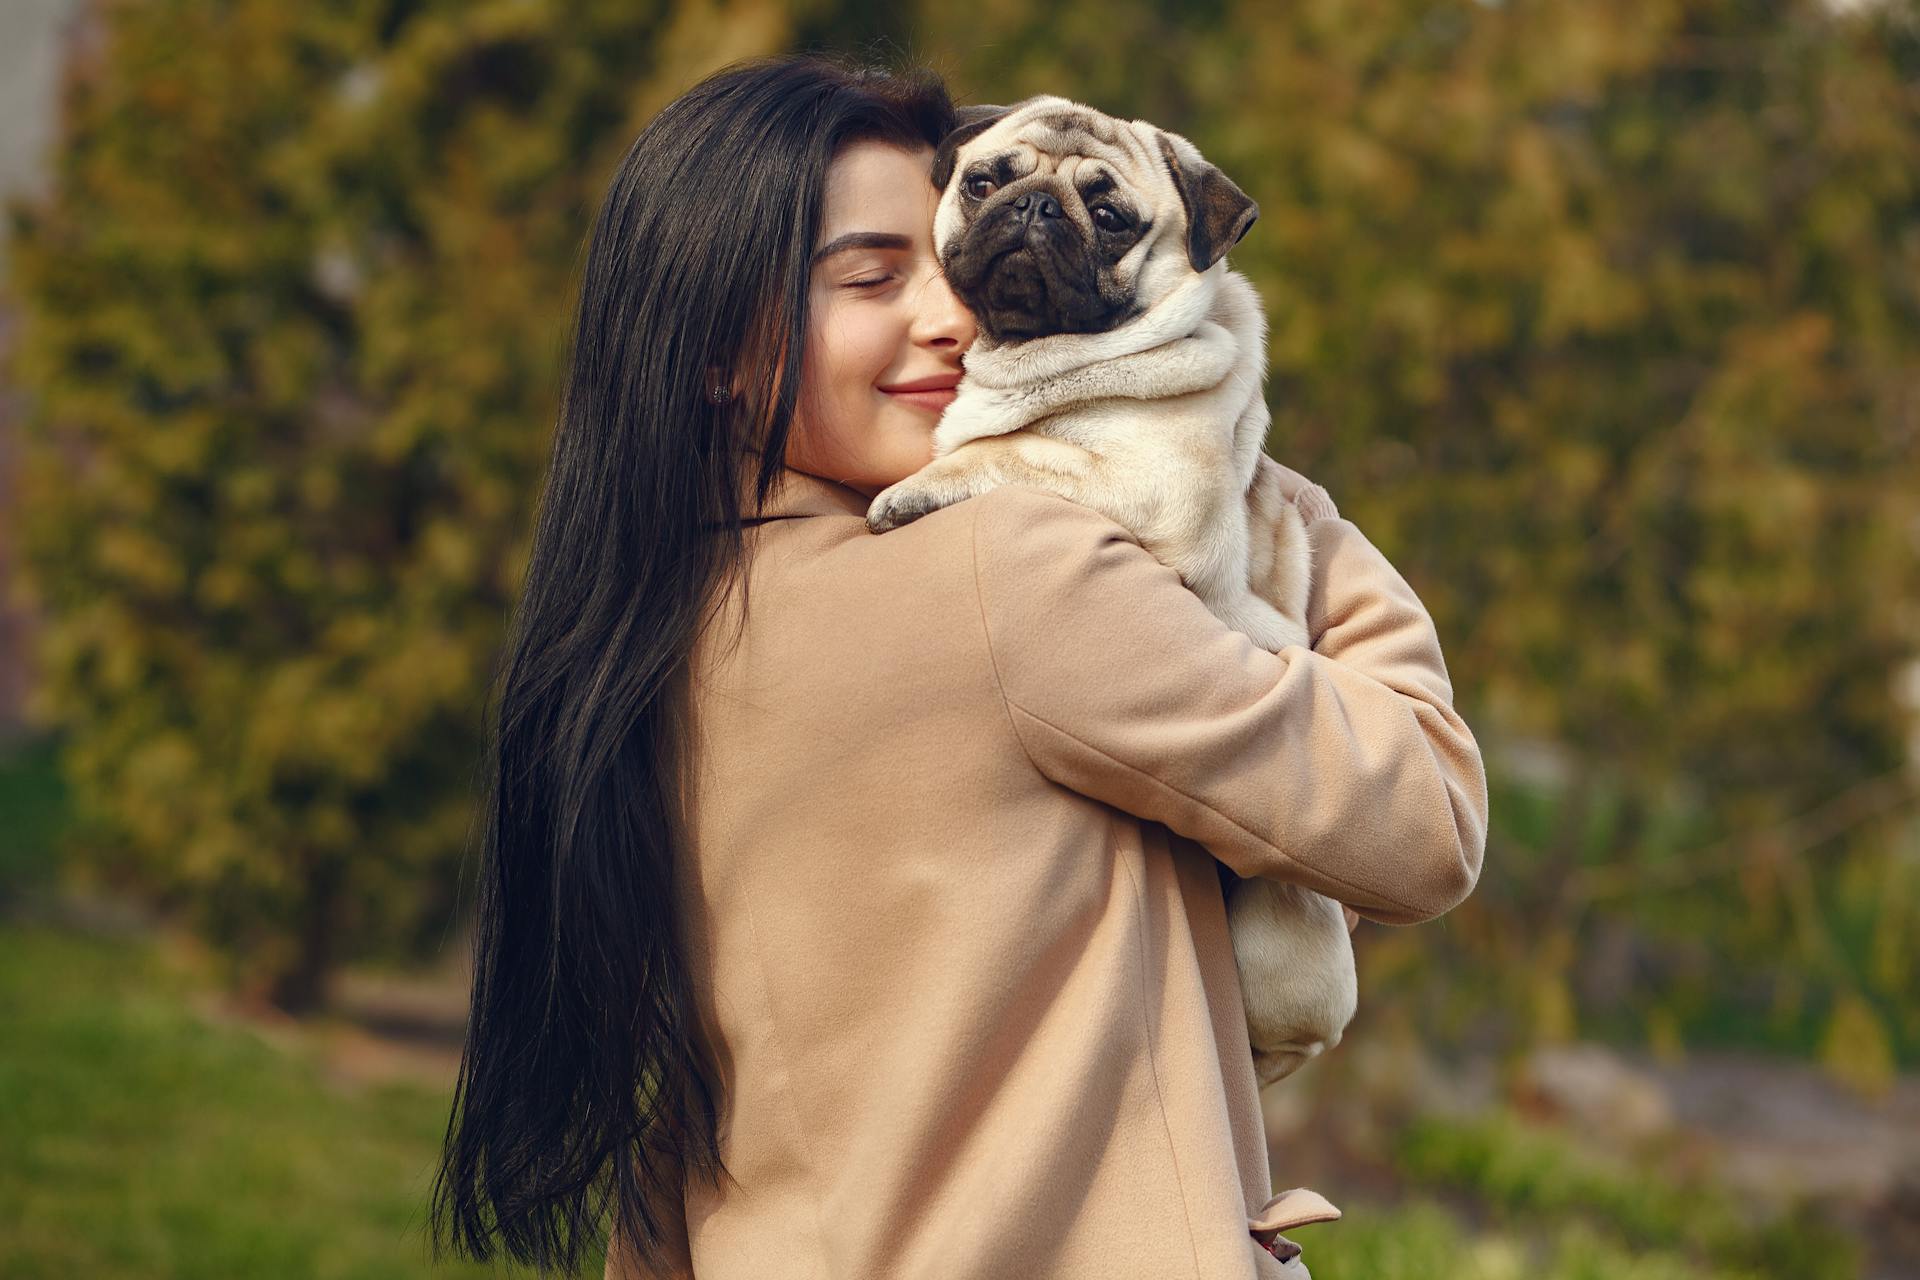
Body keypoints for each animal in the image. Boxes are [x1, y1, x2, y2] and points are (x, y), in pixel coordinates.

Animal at [864, 94, 1359, 1090]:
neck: (1036, 361)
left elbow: (1008, 450)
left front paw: (914, 488)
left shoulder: (1153, 493)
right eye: (985, 180)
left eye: (1110, 215)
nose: (1034, 208)